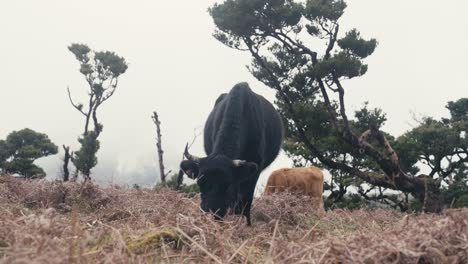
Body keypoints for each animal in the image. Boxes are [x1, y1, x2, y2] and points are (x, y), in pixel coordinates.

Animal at [179, 82, 282, 225]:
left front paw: (246, 224)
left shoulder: (253, 172)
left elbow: (246, 200)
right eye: (200, 183)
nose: (210, 215)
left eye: (227, 186)